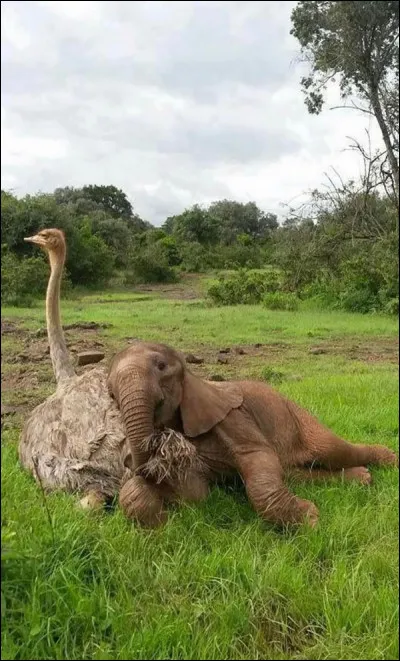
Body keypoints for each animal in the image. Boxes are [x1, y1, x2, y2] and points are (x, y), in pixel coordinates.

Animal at [108, 342, 398, 528]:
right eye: (110, 392)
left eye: (161, 366)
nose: (130, 462)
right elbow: (195, 492)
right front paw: (160, 522)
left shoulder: (233, 417)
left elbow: (257, 457)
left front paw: (311, 520)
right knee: (292, 471)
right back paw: (363, 477)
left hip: (298, 417)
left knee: (332, 450)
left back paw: (388, 460)